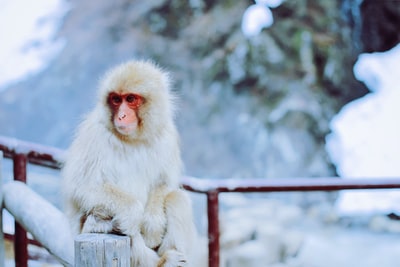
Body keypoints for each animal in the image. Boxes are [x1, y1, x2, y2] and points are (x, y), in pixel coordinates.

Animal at [62, 61, 197, 267]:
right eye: (116, 100)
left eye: (131, 99)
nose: (122, 116)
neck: (134, 139)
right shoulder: (95, 135)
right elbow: (85, 186)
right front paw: (133, 214)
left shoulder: (167, 136)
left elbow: (164, 183)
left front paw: (152, 225)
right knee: (121, 223)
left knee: (177, 198)